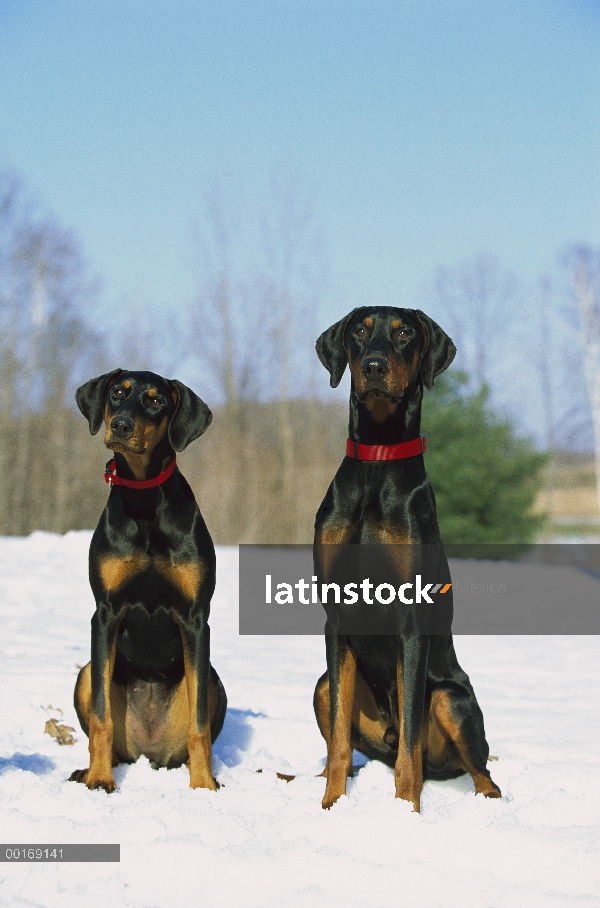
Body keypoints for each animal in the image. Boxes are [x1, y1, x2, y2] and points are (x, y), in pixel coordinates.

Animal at [68, 366, 227, 792]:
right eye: (117, 393)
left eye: (155, 400)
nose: (120, 425)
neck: (143, 499)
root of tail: (148, 754)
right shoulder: (105, 612)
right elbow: (102, 718)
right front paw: (100, 780)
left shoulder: (195, 617)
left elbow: (199, 726)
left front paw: (203, 787)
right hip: (86, 674)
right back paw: (89, 770)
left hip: (213, 680)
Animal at [312, 308, 500, 812]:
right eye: (360, 330)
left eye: (403, 334)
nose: (374, 366)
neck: (378, 460)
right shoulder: (336, 618)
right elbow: (340, 741)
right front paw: (330, 807)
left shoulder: (411, 619)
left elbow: (410, 754)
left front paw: (405, 814)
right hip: (323, 686)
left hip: (450, 699)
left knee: (482, 772)